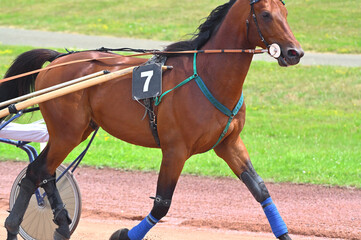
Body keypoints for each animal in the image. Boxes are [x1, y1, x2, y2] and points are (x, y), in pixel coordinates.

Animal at [2, 0, 300, 239]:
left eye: (286, 12)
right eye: (265, 15)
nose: (295, 52)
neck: (208, 76)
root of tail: (58, 59)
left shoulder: (229, 143)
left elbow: (261, 190)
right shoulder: (175, 150)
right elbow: (162, 204)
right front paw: (123, 234)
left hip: (76, 131)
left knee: (45, 173)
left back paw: (62, 223)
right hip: (67, 133)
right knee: (35, 174)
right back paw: (15, 227)